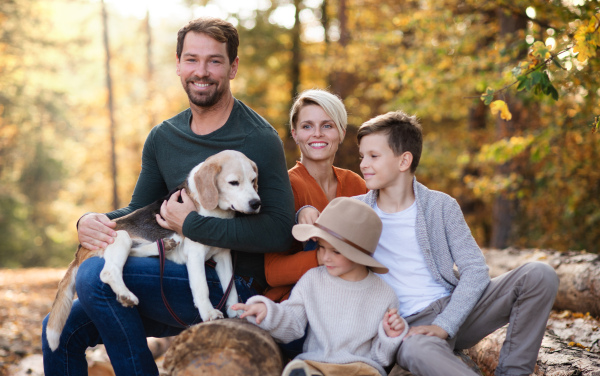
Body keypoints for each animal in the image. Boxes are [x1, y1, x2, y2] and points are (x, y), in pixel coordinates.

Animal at [45, 151, 262, 352]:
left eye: (253, 181)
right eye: (233, 182)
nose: (256, 203)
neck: (217, 212)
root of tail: (79, 251)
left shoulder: (224, 255)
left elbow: (230, 288)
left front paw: (234, 311)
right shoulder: (196, 254)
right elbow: (202, 288)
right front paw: (209, 313)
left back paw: (165, 245)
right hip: (120, 237)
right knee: (108, 272)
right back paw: (127, 294)